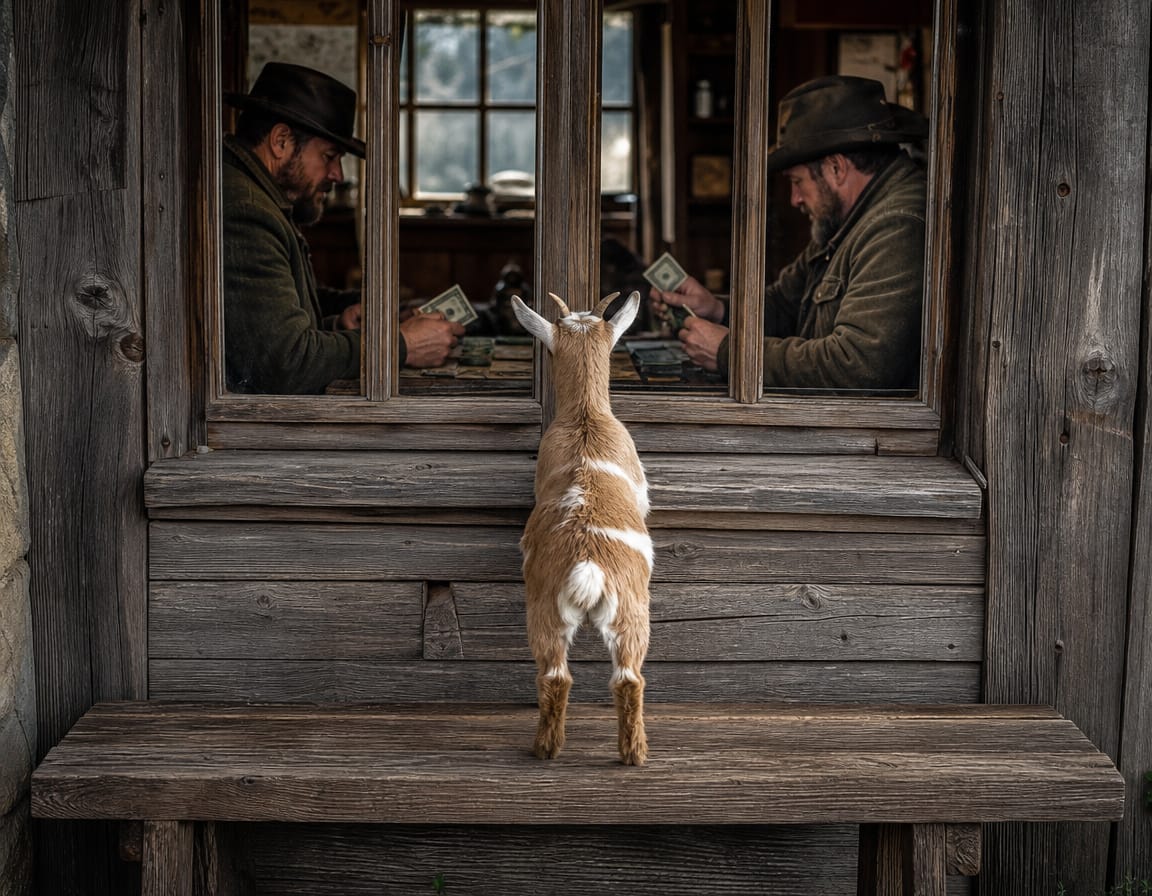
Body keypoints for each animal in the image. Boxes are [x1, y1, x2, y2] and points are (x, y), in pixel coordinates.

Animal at [511, 290, 652, 766]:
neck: (587, 417)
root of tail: (588, 565)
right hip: (624, 614)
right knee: (621, 679)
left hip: (554, 614)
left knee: (565, 678)